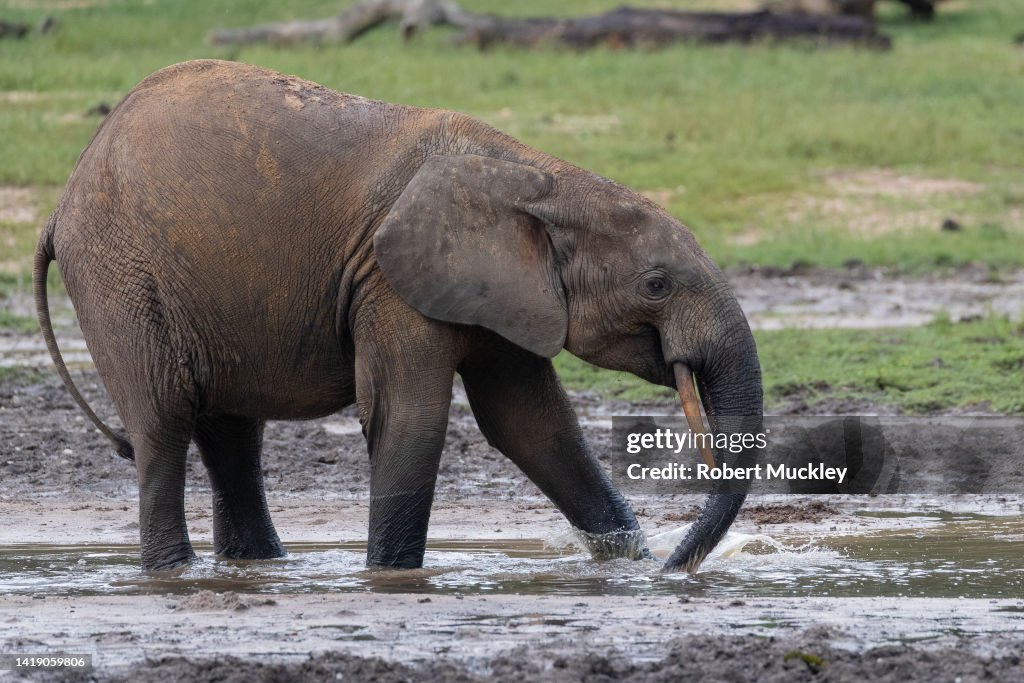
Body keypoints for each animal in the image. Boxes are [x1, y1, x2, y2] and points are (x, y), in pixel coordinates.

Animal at [33, 60, 763, 572]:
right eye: (656, 285)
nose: (676, 567)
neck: (539, 177)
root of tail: (61, 203)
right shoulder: (391, 279)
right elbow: (410, 417)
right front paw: (390, 578)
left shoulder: (504, 289)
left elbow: (533, 424)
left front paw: (630, 566)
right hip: (122, 278)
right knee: (163, 426)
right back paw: (173, 574)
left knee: (232, 436)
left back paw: (259, 567)